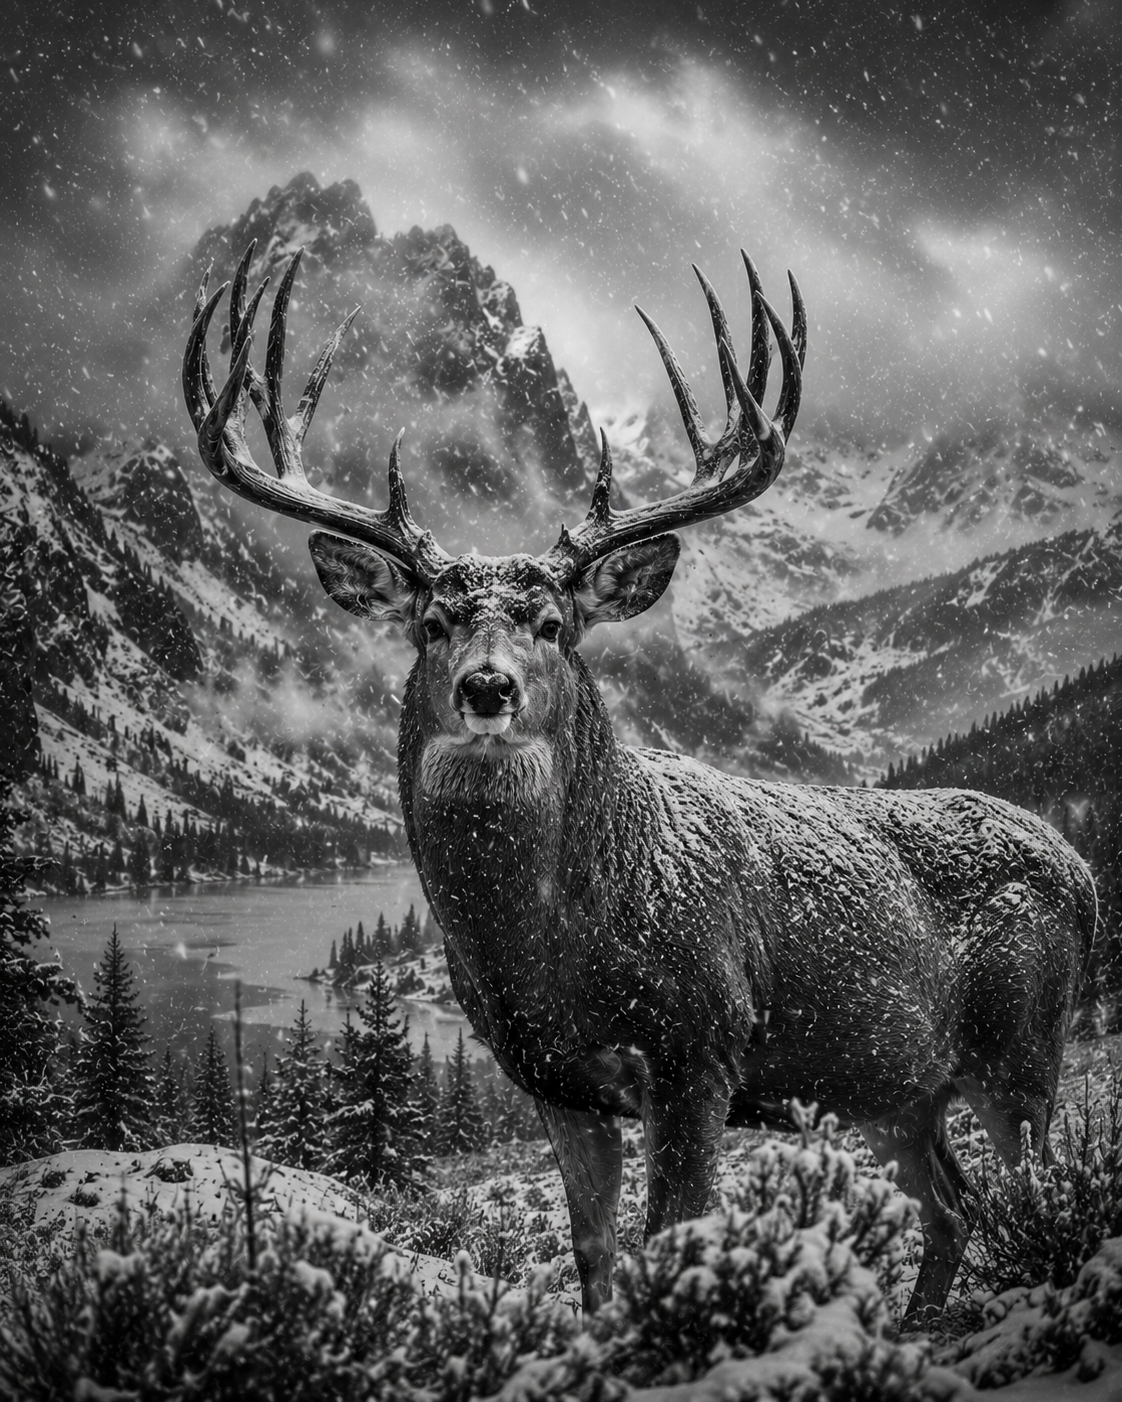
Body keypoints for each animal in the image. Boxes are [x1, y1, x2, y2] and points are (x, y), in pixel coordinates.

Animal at [183, 240, 1097, 1324]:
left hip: (1022, 1046)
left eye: (554, 624)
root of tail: (1085, 872)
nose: (486, 687)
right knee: (956, 1204)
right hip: (889, 1084)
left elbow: (672, 1236)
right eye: (432, 621)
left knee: (1038, 1192)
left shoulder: (699, 1049)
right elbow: (594, 1256)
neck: (555, 947)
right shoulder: (555, 1082)